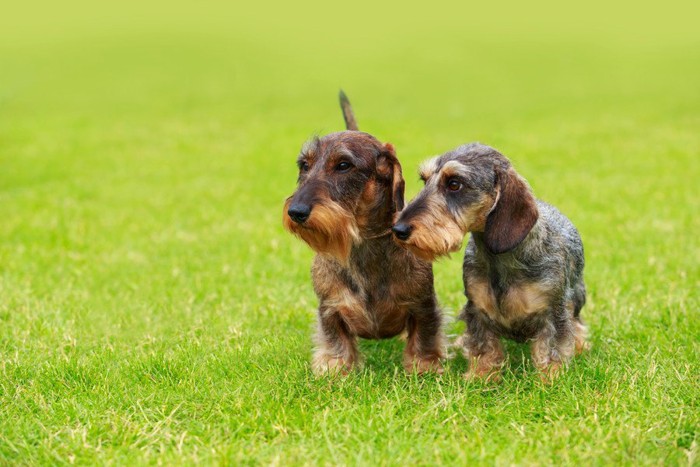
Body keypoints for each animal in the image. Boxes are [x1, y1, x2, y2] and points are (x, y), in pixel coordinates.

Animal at [280, 92, 440, 376]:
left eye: (344, 165)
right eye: (304, 165)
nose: (296, 212)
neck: (361, 244)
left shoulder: (423, 305)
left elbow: (424, 336)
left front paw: (424, 367)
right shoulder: (329, 307)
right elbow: (335, 338)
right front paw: (335, 368)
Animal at [392, 144, 588, 380]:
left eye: (454, 184)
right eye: (424, 179)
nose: (398, 229)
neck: (500, 260)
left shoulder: (553, 312)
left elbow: (552, 349)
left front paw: (550, 378)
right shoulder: (477, 310)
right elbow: (483, 347)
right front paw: (481, 377)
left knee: (577, 323)